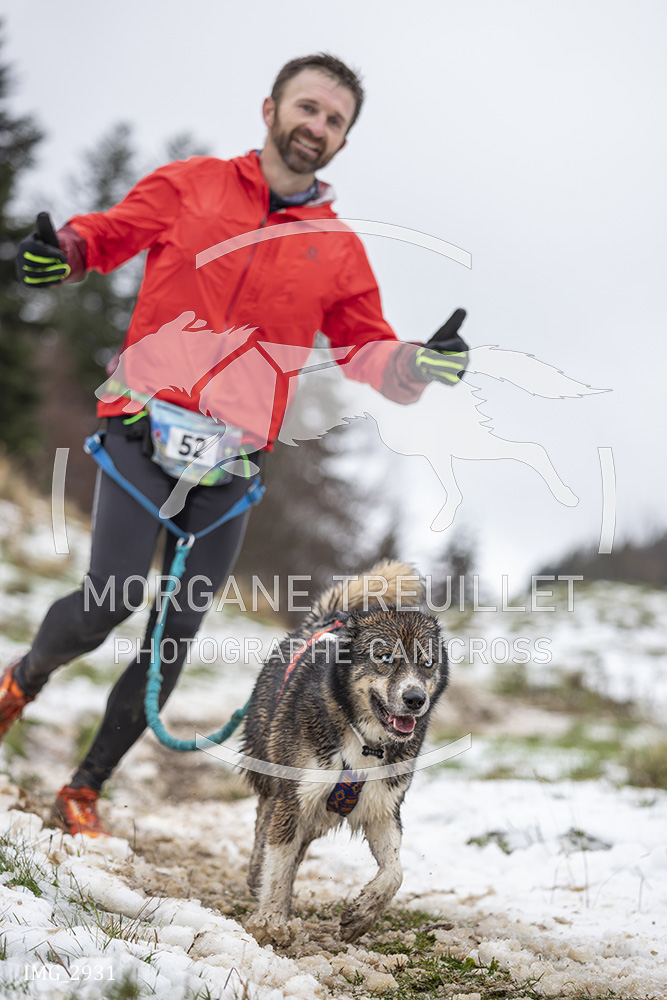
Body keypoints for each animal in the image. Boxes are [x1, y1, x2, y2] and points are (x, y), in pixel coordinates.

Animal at [242, 560, 449, 946]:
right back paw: (257, 874)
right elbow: (279, 858)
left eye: (427, 662)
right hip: (271, 770)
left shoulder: (383, 805)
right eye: (384, 657)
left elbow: (395, 871)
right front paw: (272, 918)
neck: (363, 737)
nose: (415, 699)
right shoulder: (296, 796)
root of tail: (325, 620)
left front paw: (362, 914)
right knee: (265, 818)